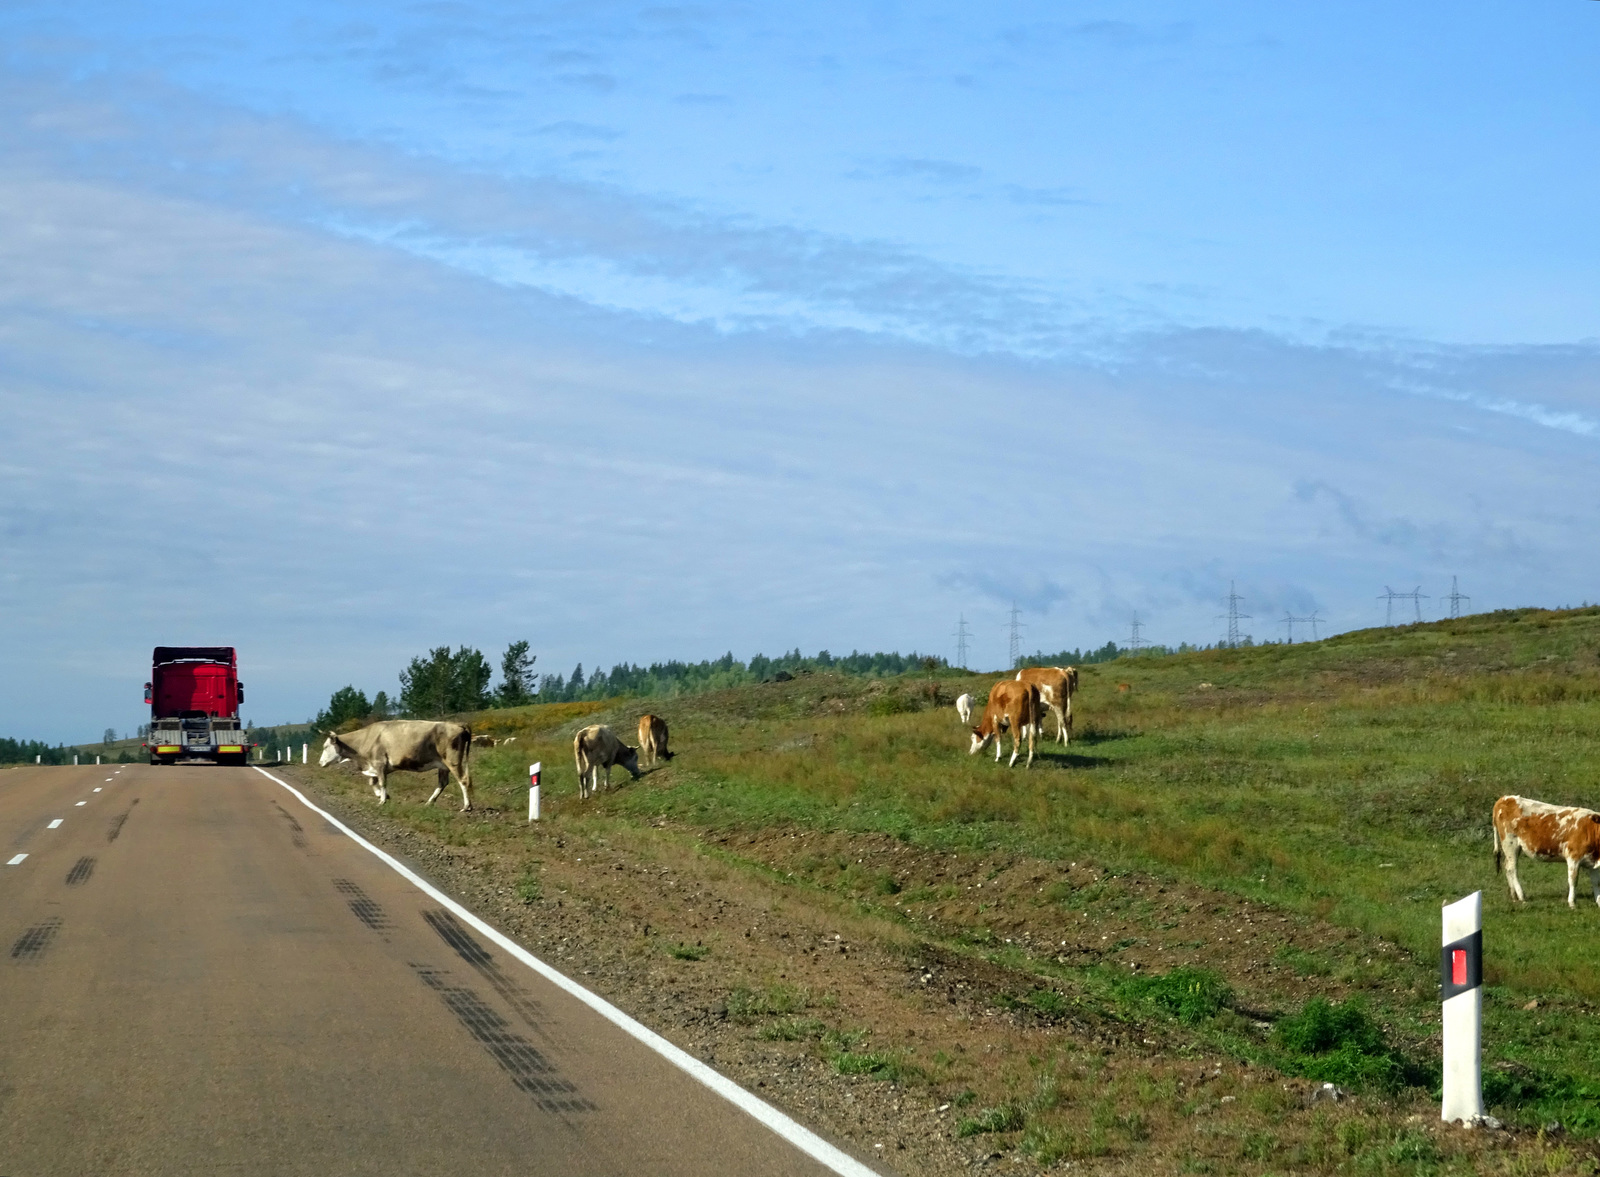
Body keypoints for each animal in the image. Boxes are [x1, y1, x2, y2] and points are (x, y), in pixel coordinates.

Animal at [320, 716, 470, 809]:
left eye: (326, 746)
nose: (320, 763)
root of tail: (458, 725)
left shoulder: (379, 763)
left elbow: (382, 783)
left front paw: (382, 800)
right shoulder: (377, 767)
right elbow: (372, 782)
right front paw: (382, 795)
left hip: (453, 761)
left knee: (463, 780)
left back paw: (467, 806)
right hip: (442, 765)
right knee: (442, 783)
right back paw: (429, 802)